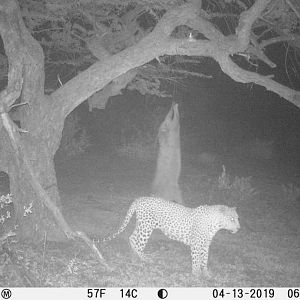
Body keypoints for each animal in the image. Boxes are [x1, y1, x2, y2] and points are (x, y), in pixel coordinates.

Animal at [102, 197, 240, 276]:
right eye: (232, 219)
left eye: (237, 218)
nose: (239, 228)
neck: (216, 224)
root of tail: (140, 198)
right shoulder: (196, 244)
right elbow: (196, 259)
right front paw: (196, 274)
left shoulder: (205, 245)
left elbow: (205, 258)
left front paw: (205, 273)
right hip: (147, 227)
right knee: (139, 243)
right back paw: (144, 259)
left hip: (142, 225)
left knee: (132, 237)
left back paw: (135, 255)